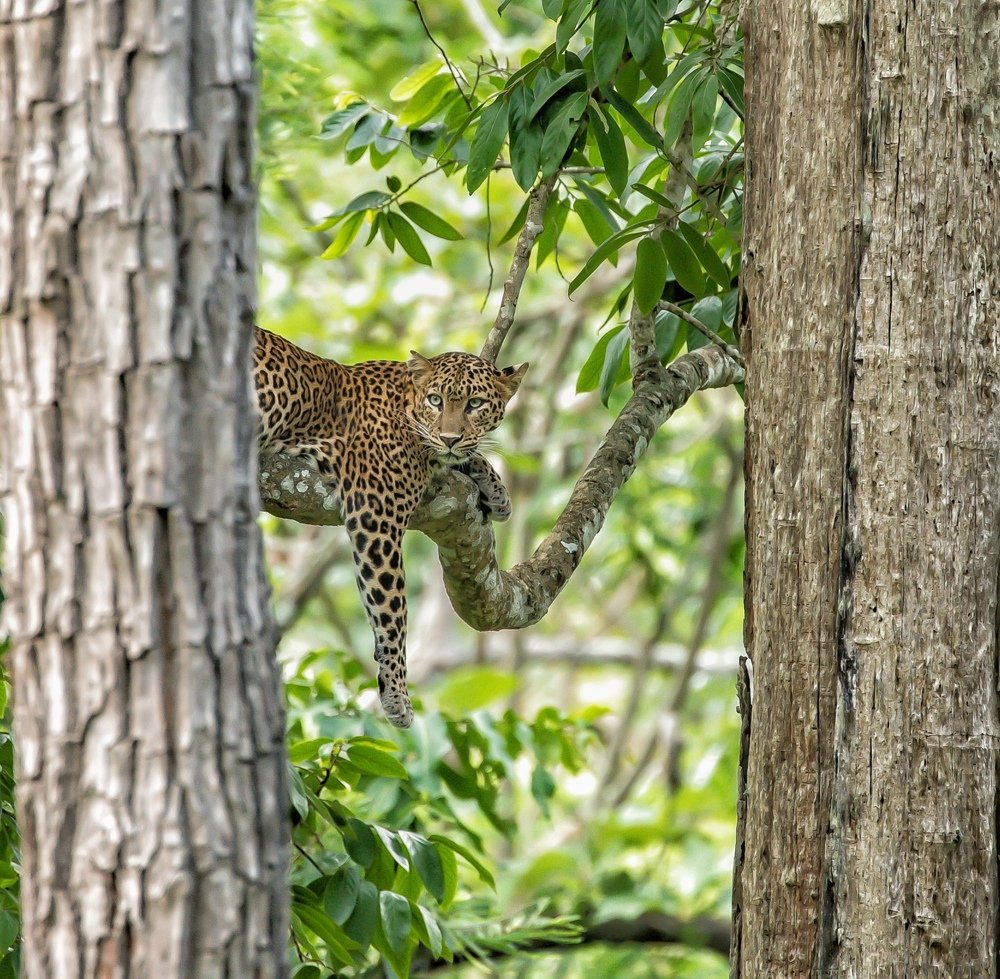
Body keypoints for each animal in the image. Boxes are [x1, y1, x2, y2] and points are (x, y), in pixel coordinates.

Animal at [254, 327, 528, 728]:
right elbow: (392, 611)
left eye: (475, 403)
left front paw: (497, 491)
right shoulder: (376, 517)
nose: (450, 437)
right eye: (436, 400)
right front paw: (397, 694)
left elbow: (468, 453)